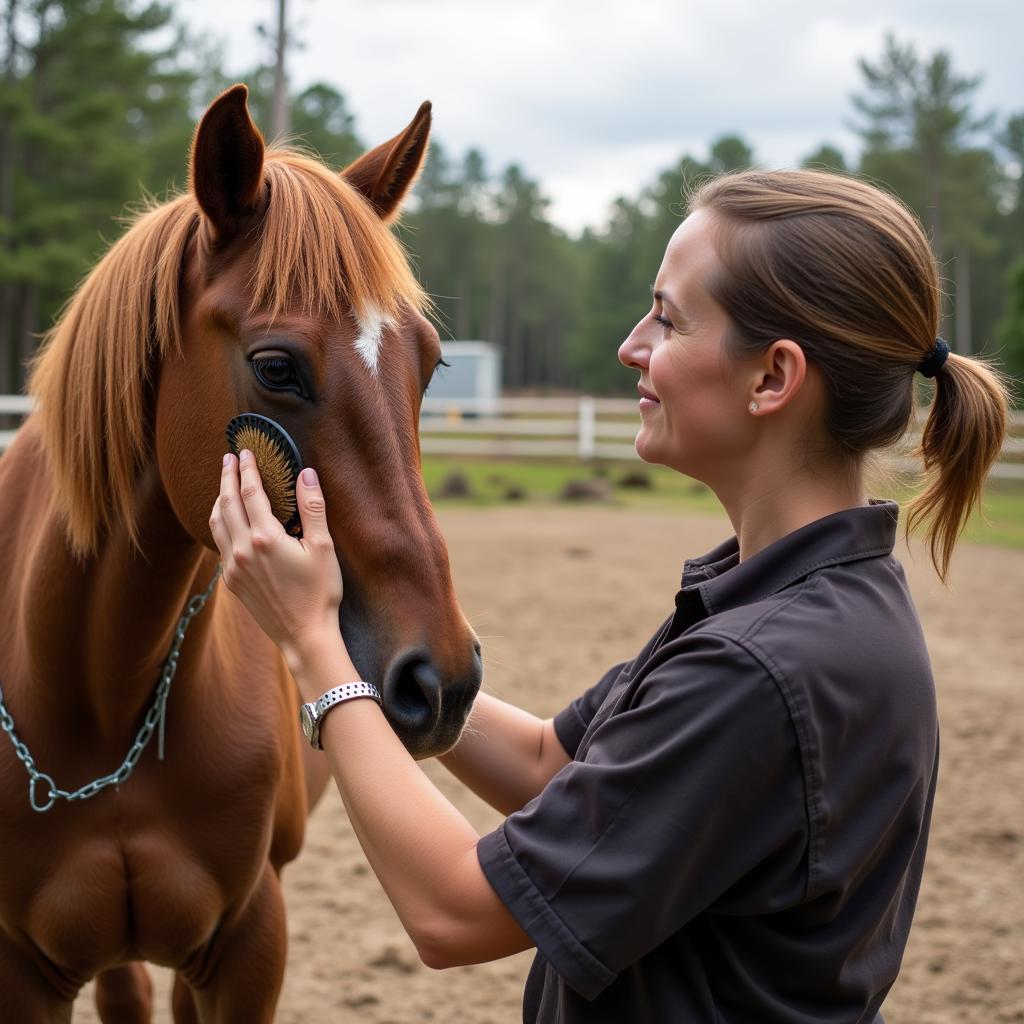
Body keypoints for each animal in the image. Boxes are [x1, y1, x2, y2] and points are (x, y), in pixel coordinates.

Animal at [0, 83, 483, 1019]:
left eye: (431, 366)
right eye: (276, 366)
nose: (442, 680)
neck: (99, 700)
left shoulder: (249, 944)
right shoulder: (19, 971)